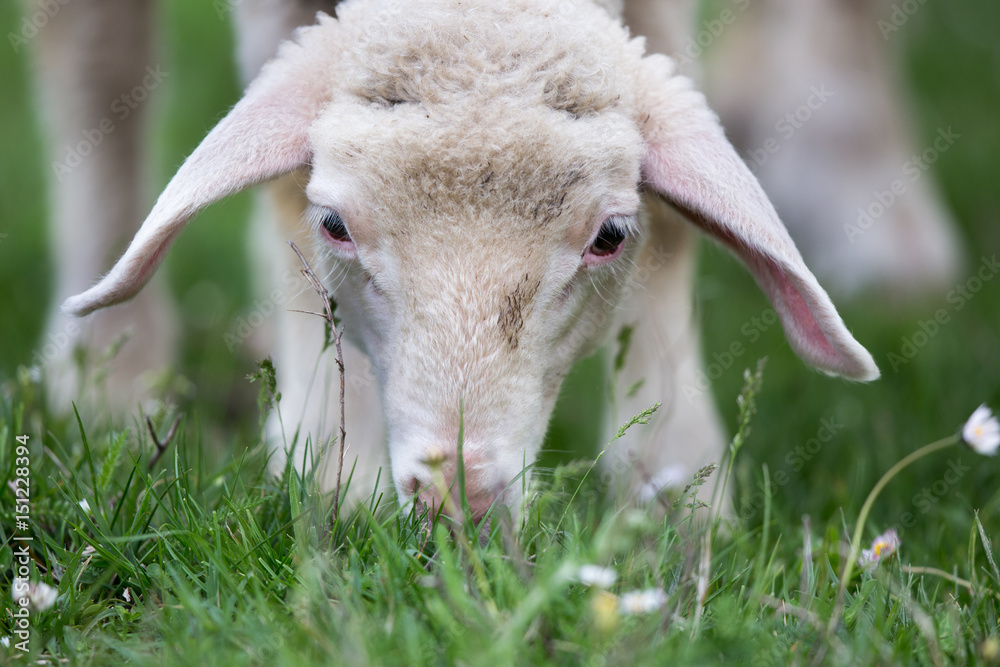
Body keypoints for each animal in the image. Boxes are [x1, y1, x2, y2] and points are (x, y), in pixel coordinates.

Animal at [55, 0, 879, 519]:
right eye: (334, 225)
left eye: (610, 236)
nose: (460, 497)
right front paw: (334, 476)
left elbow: (674, 233)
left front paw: (677, 498)